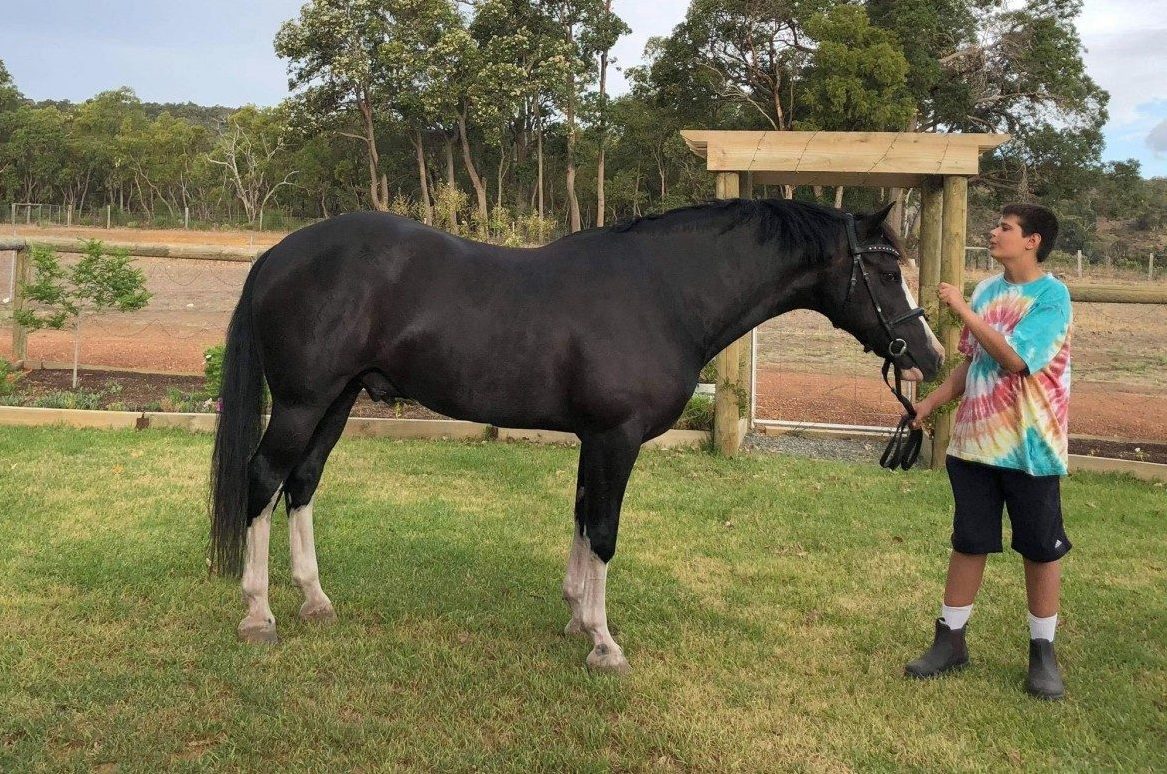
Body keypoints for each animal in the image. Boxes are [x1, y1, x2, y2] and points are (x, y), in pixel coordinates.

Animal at [209, 198, 944, 673]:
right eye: (885, 272)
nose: (929, 356)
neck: (661, 294)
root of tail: (278, 254)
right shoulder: (616, 437)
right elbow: (606, 530)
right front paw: (602, 642)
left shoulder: (596, 439)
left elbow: (584, 516)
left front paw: (573, 614)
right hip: (302, 403)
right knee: (263, 479)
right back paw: (258, 615)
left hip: (336, 401)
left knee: (302, 484)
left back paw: (314, 600)